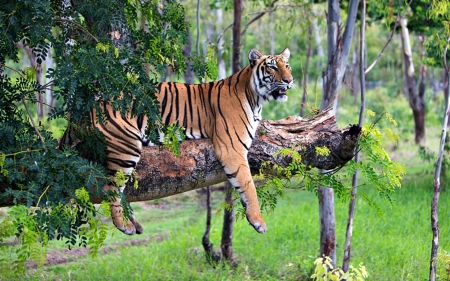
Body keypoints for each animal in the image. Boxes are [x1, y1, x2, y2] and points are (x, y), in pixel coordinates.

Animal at [62, 47, 292, 234]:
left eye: (287, 66)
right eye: (272, 67)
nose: (289, 80)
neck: (256, 98)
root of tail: (90, 106)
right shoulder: (232, 148)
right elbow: (248, 185)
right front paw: (258, 222)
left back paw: (135, 225)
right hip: (126, 147)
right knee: (111, 189)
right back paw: (124, 225)